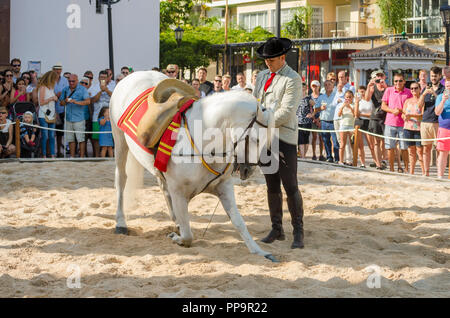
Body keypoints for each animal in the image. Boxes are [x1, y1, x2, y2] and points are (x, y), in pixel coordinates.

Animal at [109, 71, 278, 262]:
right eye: (255, 139)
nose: (248, 170)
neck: (205, 144)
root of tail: (132, 75)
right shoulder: (178, 193)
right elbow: (188, 236)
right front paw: (177, 238)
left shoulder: (223, 187)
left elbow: (239, 222)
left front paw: (259, 251)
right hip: (119, 142)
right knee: (121, 180)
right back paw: (121, 223)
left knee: (162, 185)